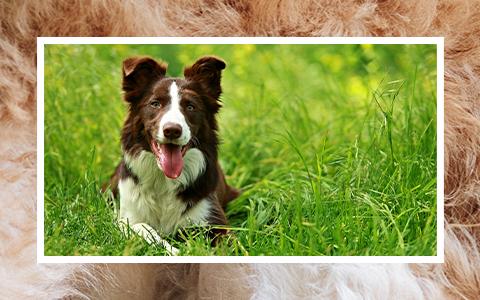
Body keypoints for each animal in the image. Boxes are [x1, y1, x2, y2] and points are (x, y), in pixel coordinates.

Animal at [105, 55, 240, 253]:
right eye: (155, 104)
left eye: (190, 106)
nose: (172, 130)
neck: (165, 181)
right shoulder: (127, 218)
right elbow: (145, 230)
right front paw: (176, 251)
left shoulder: (214, 219)